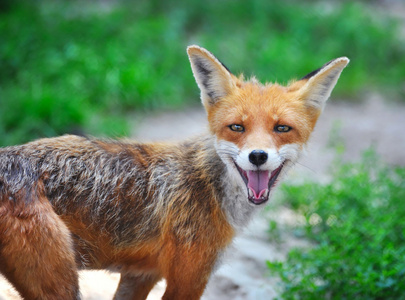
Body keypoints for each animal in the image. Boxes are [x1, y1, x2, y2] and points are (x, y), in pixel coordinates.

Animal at [0, 45, 348, 300]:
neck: (210, 189)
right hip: (59, 284)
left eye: (282, 128)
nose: (258, 156)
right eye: (237, 127)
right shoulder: (189, 277)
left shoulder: (140, 275)